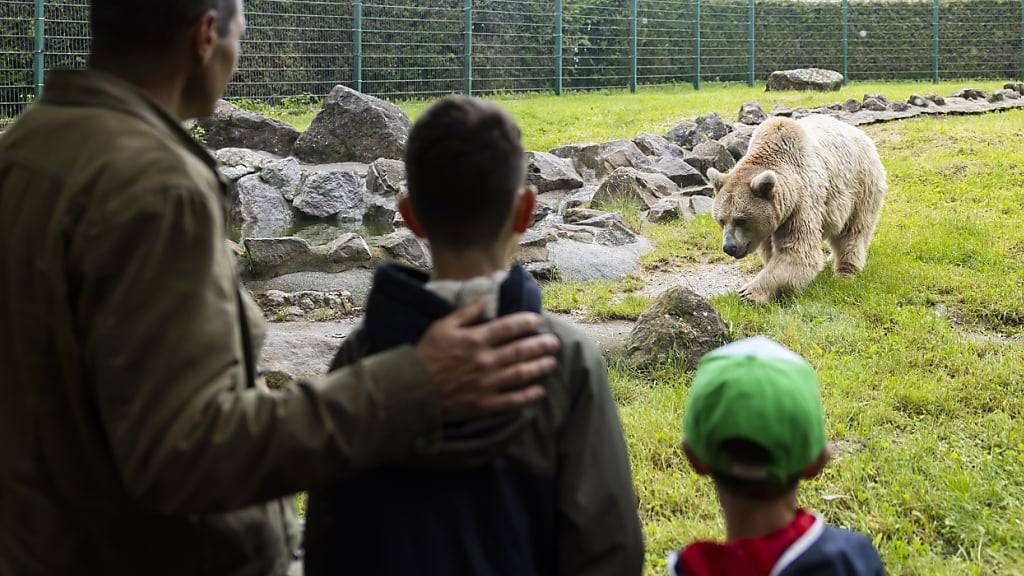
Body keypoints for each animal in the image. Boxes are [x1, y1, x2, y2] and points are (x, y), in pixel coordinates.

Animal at [708, 114, 884, 303]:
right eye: (721, 220)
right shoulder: (774, 219)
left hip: (860, 186)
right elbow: (772, 250)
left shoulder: (801, 204)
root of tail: (861, 134)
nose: (729, 247)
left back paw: (845, 272)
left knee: (852, 232)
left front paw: (749, 293)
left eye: (740, 220)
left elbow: (797, 251)